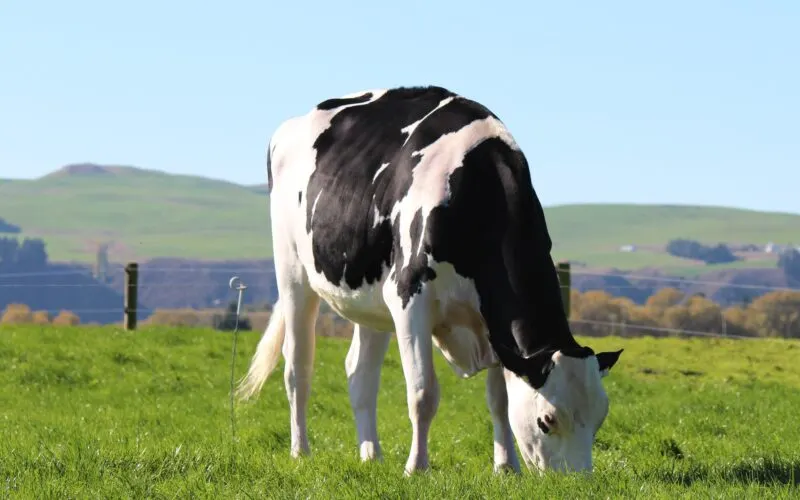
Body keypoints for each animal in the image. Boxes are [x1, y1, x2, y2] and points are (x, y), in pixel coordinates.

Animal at [238, 86, 624, 476]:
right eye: (547, 421)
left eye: (599, 419)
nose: (576, 480)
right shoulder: (410, 298)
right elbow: (423, 394)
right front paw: (416, 467)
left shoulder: (493, 325)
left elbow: (499, 400)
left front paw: (505, 468)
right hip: (292, 271)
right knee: (297, 367)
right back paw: (300, 451)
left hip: (369, 297)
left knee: (360, 374)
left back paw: (371, 454)